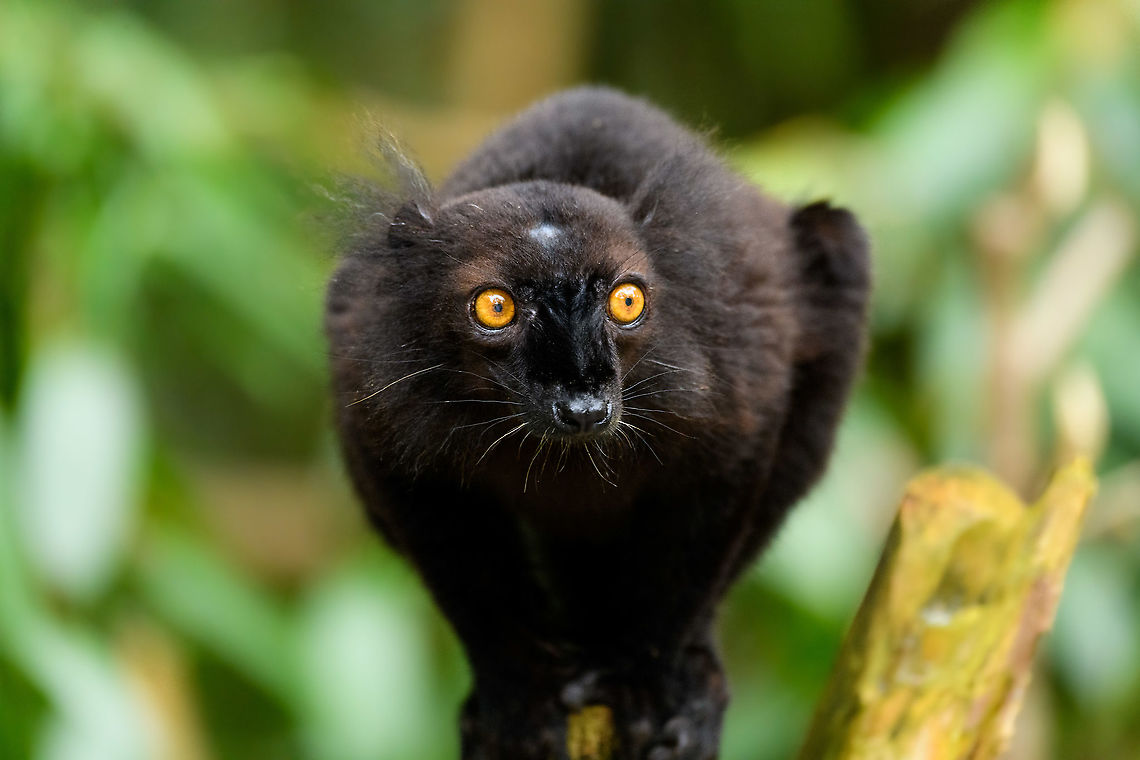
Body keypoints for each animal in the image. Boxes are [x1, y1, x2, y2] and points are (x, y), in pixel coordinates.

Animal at [325, 86, 870, 760]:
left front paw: (636, 679)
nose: (584, 406)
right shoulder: (375, 381)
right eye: (495, 306)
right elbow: (464, 568)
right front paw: (522, 701)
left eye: (627, 300)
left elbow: (689, 552)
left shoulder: (731, 377)